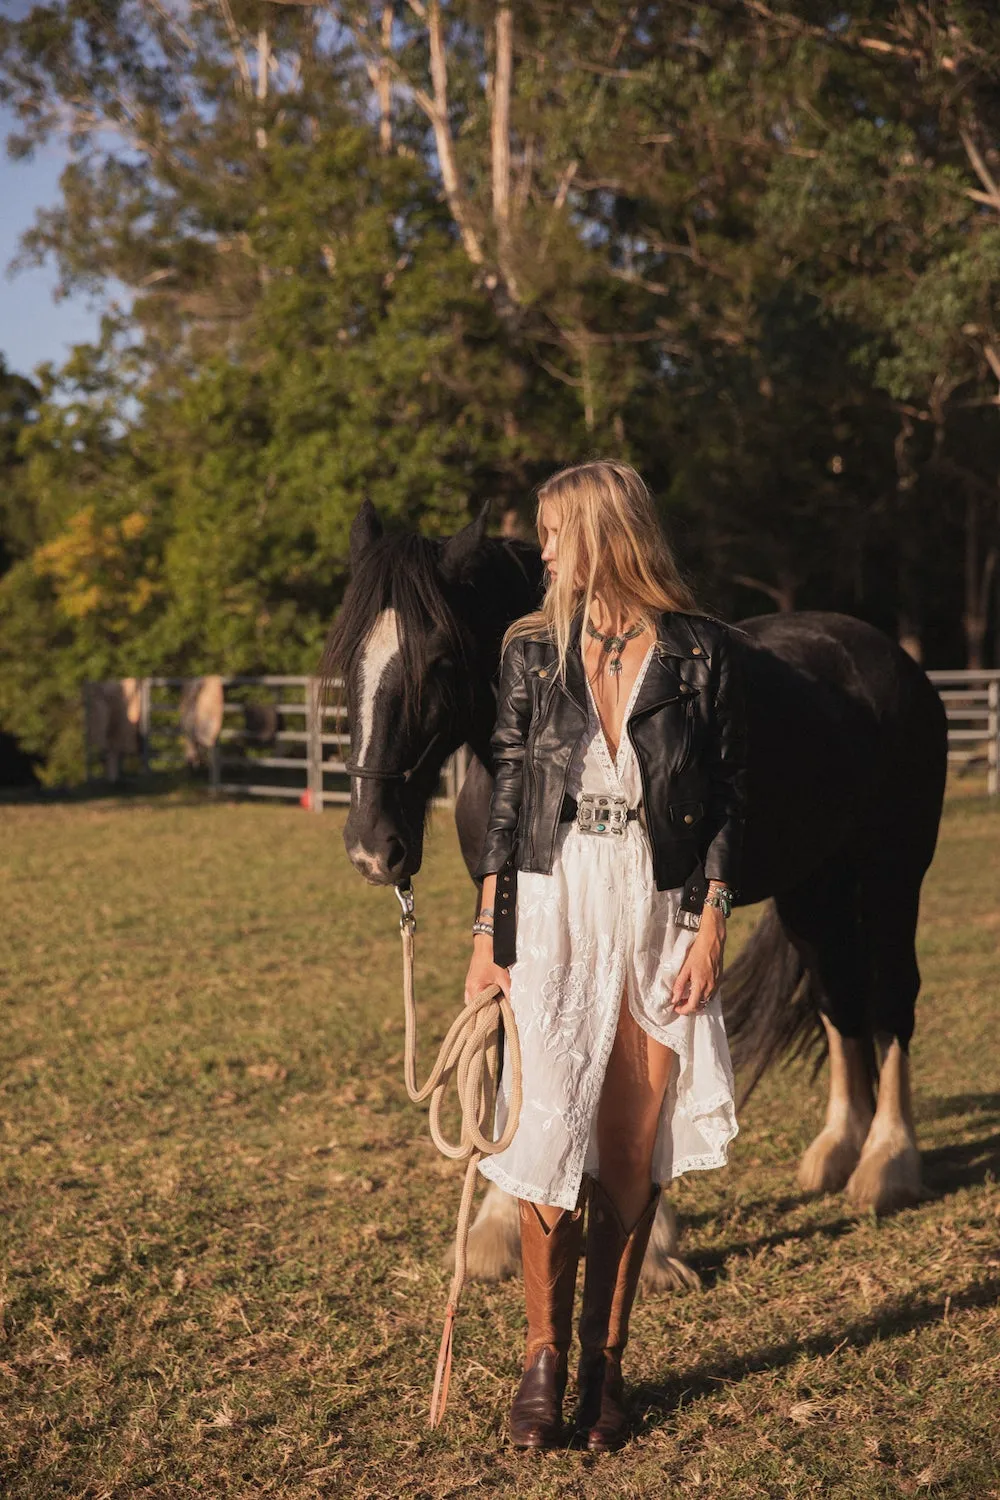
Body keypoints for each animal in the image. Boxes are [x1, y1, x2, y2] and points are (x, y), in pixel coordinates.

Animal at [326, 501, 947, 1290]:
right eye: (349, 657)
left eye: (438, 658)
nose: (373, 847)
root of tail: (893, 661)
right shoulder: (503, 902)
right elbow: (508, 1037)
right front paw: (497, 1229)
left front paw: (651, 1248)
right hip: (815, 889)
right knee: (840, 998)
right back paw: (836, 1150)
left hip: (893, 874)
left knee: (892, 998)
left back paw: (887, 1164)